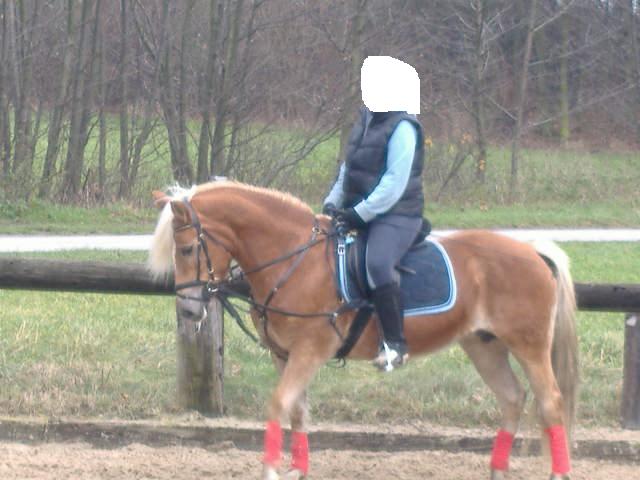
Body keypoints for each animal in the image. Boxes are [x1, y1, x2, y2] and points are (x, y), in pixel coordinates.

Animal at [149, 181, 578, 480]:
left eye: (186, 249)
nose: (188, 310)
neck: (295, 262)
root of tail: (532, 252)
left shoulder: (309, 352)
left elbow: (278, 404)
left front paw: (271, 470)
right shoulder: (284, 355)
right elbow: (297, 411)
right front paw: (298, 469)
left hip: (529, 346)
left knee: (551, 403)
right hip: (484, 345)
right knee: (513, 398)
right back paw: (497, 469)